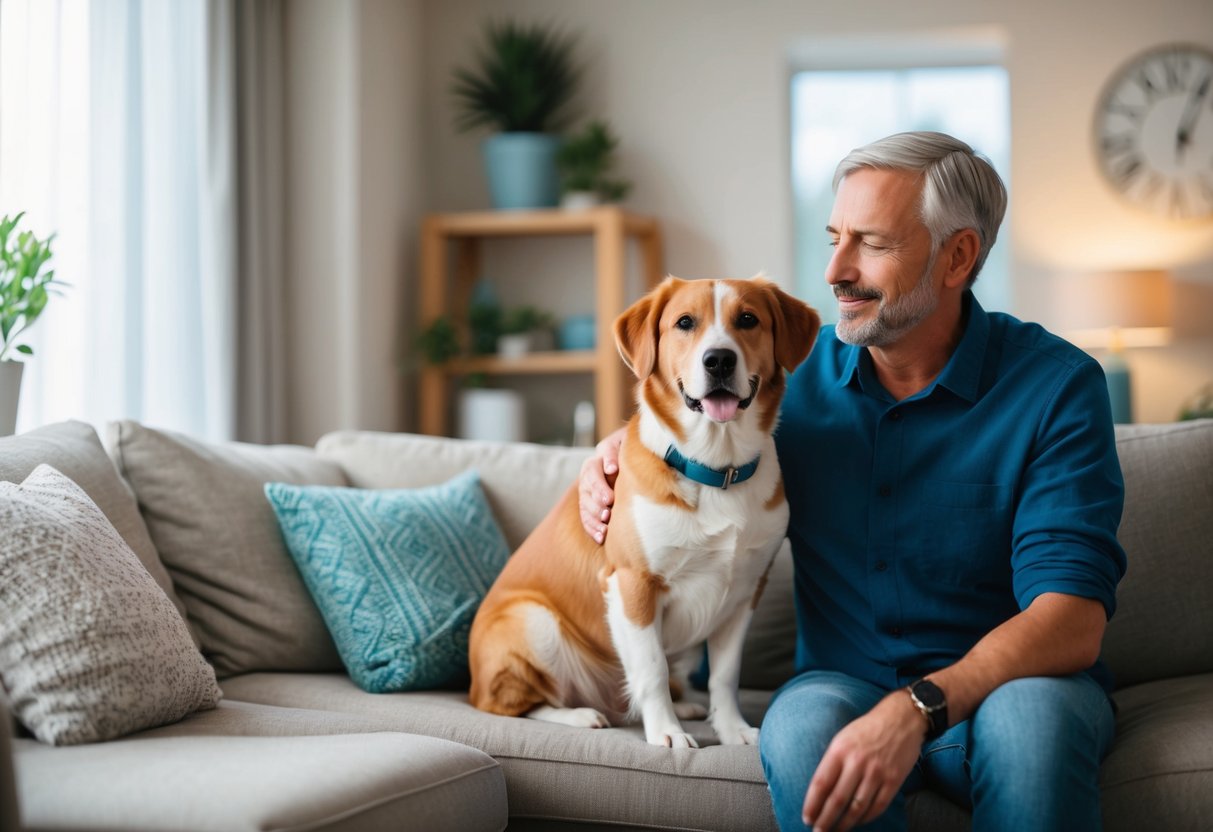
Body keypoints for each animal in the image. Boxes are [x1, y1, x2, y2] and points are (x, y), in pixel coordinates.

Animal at [468, 275, 819, 751]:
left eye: (748, 319)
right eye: (685, 323)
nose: (719, 360)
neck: (715, 468)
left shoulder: (744, 593)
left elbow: (725, 677)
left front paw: (730, 728)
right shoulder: (633, 583)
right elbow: (651, 669)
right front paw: (666, 732)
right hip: (534, 622)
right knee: (515, 703)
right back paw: (581, 714)